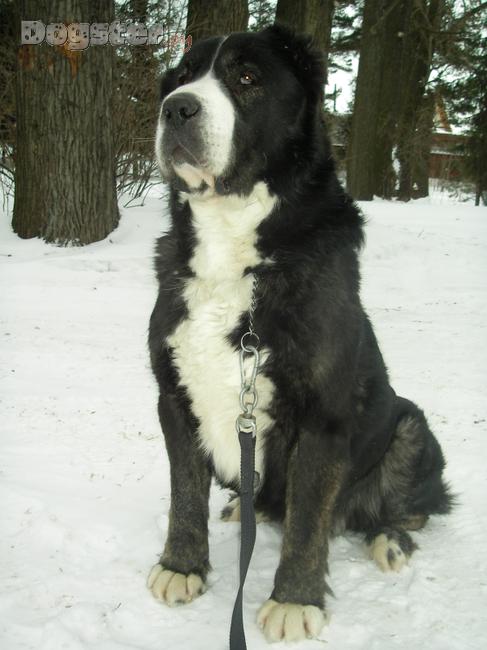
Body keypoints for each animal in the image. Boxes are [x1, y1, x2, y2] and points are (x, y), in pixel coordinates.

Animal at [147, 25, 452, 643]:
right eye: (182, 76)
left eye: (246, 77)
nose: (176, 108)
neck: (234, 243)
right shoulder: (174, 394)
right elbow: (184, 493)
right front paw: (182, 565)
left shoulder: (323, 414)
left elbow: (309, 518)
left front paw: (294, 599)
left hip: (411, 425)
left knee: (411, 507)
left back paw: (388, 539)